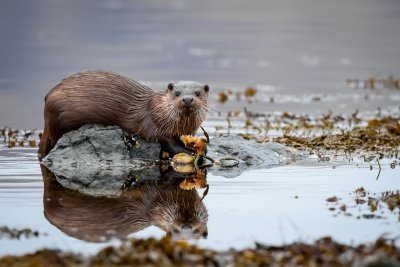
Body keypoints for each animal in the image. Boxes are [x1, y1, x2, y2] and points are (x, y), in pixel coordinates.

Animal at [38, 70, 209, 159]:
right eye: (177, 93)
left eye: (198, 93)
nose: (187, 99)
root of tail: (47, 97)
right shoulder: (152, 124)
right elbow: (167, 143)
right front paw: (189, 151)